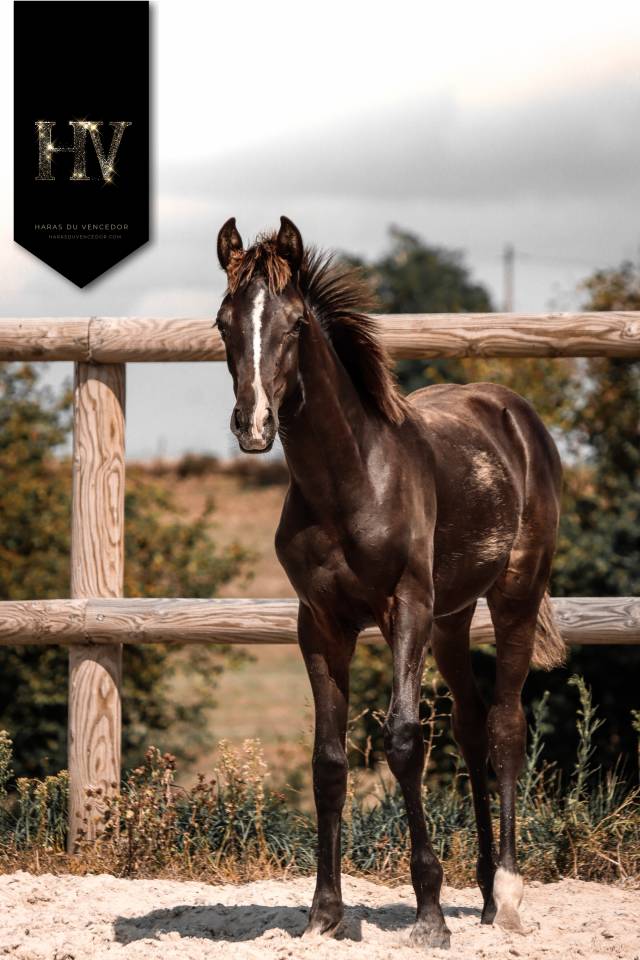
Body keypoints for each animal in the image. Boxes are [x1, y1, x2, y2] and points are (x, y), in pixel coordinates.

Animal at [215, 215, 565, 948]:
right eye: (223, 322)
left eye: (295, 323)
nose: (253, 426)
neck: (349, 483)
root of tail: (516, 414)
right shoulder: (320, 622)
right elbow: (329, 759)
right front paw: (323, 913)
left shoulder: (406, 608)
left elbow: (405, 740)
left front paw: (429, 914)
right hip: (454, 618)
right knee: (471, 725)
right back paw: (481, 895)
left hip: (512, 598)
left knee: (506, 725)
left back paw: (508, 896)